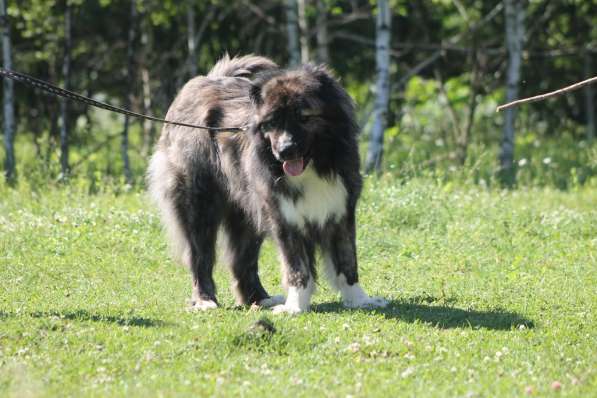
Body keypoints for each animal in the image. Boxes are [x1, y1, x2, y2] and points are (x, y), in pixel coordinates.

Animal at [148, 53, 386, 314]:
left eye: (303, 117)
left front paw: (359, 299)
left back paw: (259, 298)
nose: (284, 150)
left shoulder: (341, 212)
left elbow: (347, 262)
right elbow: (297, 267)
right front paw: (295, 306)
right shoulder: (284, 218)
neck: (315, 165)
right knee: (201, 256)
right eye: (271, 122)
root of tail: (204, 80)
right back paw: (205, 300)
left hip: (247, 212)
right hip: (199, 206)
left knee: (243, 260)